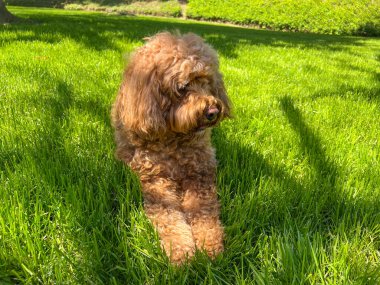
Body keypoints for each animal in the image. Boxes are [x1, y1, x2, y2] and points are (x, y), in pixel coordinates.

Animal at [111, 31, 232, 264]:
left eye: (207, 82)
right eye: (183, 87)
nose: (213, 111)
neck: (174, 140)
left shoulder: (200, 175)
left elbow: (204, 211)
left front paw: (209, 245)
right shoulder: (156, 181)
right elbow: (169, 217)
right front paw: (181, 250)